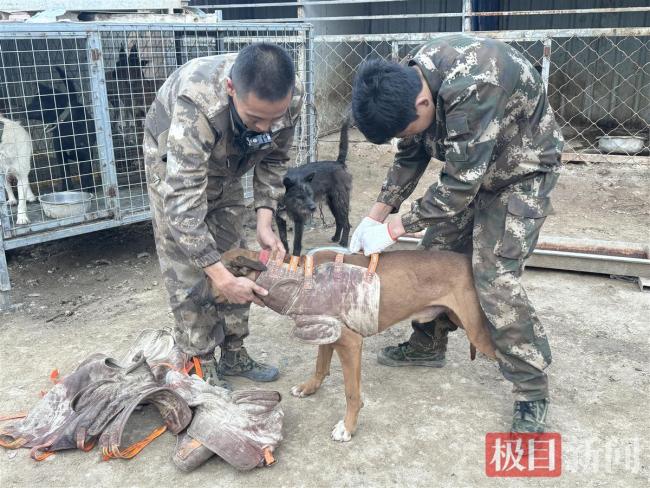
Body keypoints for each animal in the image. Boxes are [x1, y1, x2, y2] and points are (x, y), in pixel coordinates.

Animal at [220, 248, 494, 442]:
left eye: (214, 279)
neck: (296, 279)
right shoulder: (328, 332)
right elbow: (320, 366)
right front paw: (309, 388)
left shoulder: (350, 343)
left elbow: (351, 393)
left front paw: (347, 427)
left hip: (479, 332)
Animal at [276, 118, 352, 255]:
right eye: (300, 196)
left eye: (310, 194)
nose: (313, 208)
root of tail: (338, 163)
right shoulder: (279, 219)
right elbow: (283, 240)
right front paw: (284, 254)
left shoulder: (299, 220)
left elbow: (296, 243)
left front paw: (295, 257)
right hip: (332, 203)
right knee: (339, 221)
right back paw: (336, 237)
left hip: (340, 202)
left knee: (346, 223)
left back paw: (343, 242)